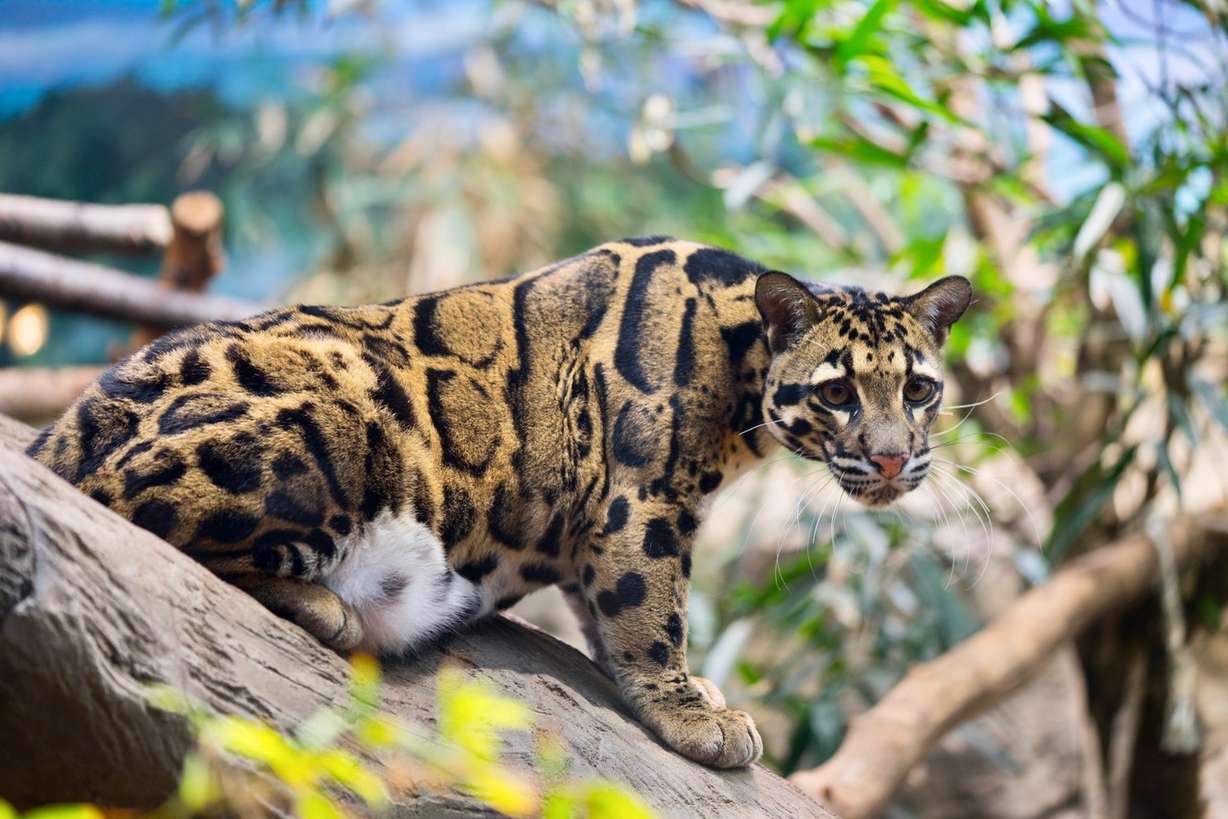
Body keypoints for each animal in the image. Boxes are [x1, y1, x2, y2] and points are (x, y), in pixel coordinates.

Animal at [27, 236, 970, 770]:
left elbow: (607, 612)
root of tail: (62, 432)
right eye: (838, 393)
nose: (894, 456)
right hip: (342, 415)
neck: (742, 362)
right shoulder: (642, 499)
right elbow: (650, 607)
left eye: (919, 389)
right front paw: (691, 712)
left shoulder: (598, 526)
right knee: (138, 517)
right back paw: (330, 605)